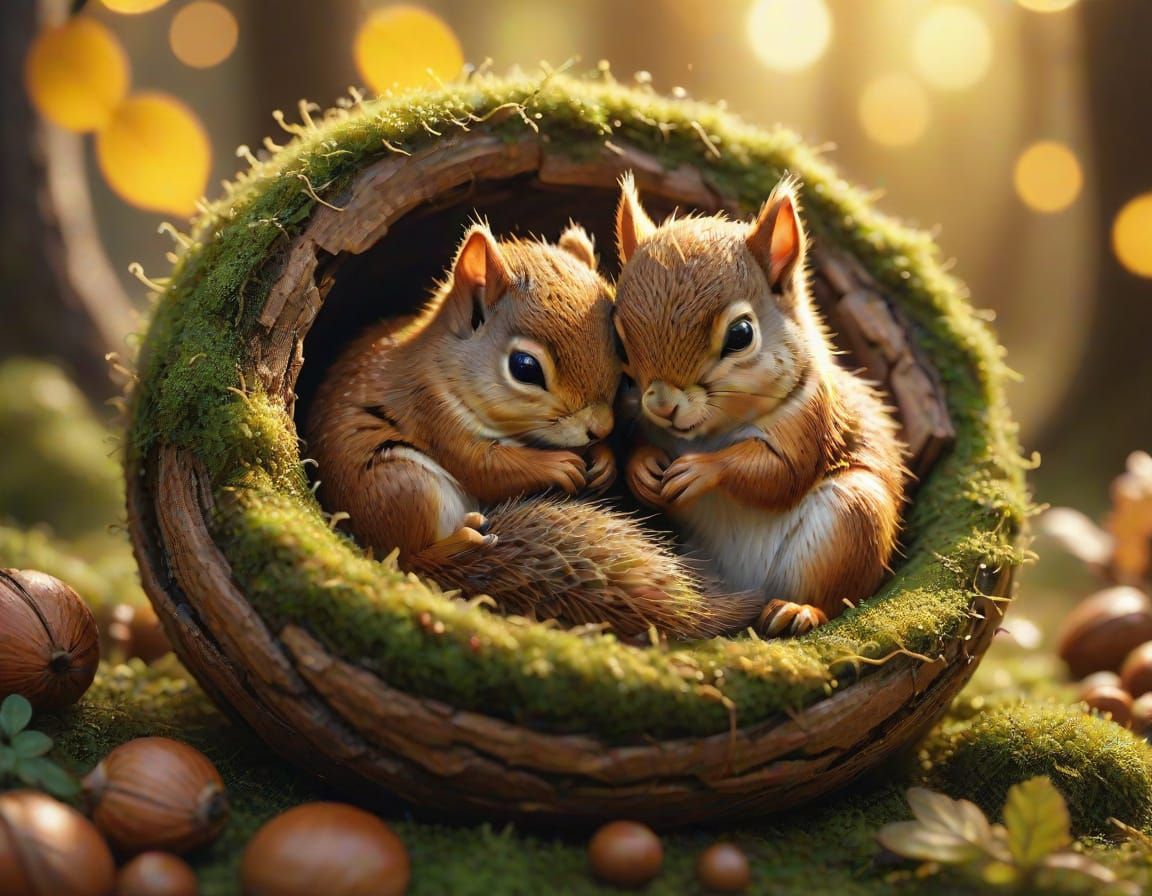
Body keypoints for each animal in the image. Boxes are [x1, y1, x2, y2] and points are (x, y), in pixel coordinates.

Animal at [306, 221, 763, 640]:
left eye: (618, 346)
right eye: (524, 368)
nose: (600, 427)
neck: (443, 367)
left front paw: (602, 460)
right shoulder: (432, 412)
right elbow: (484, 467)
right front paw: (559, 466)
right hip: (404, 485)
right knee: (411, 559)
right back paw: (464, 542)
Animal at [611, 173, 907, 637]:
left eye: (741, 335)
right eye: (620, 342)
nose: (661, 405)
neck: (707, 434)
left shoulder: (809, 421)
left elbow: (777, 472)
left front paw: (702, 470)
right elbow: (637, 446)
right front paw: (644, 467)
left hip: (851, 519)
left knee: (834, 598)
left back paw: (797, 611)